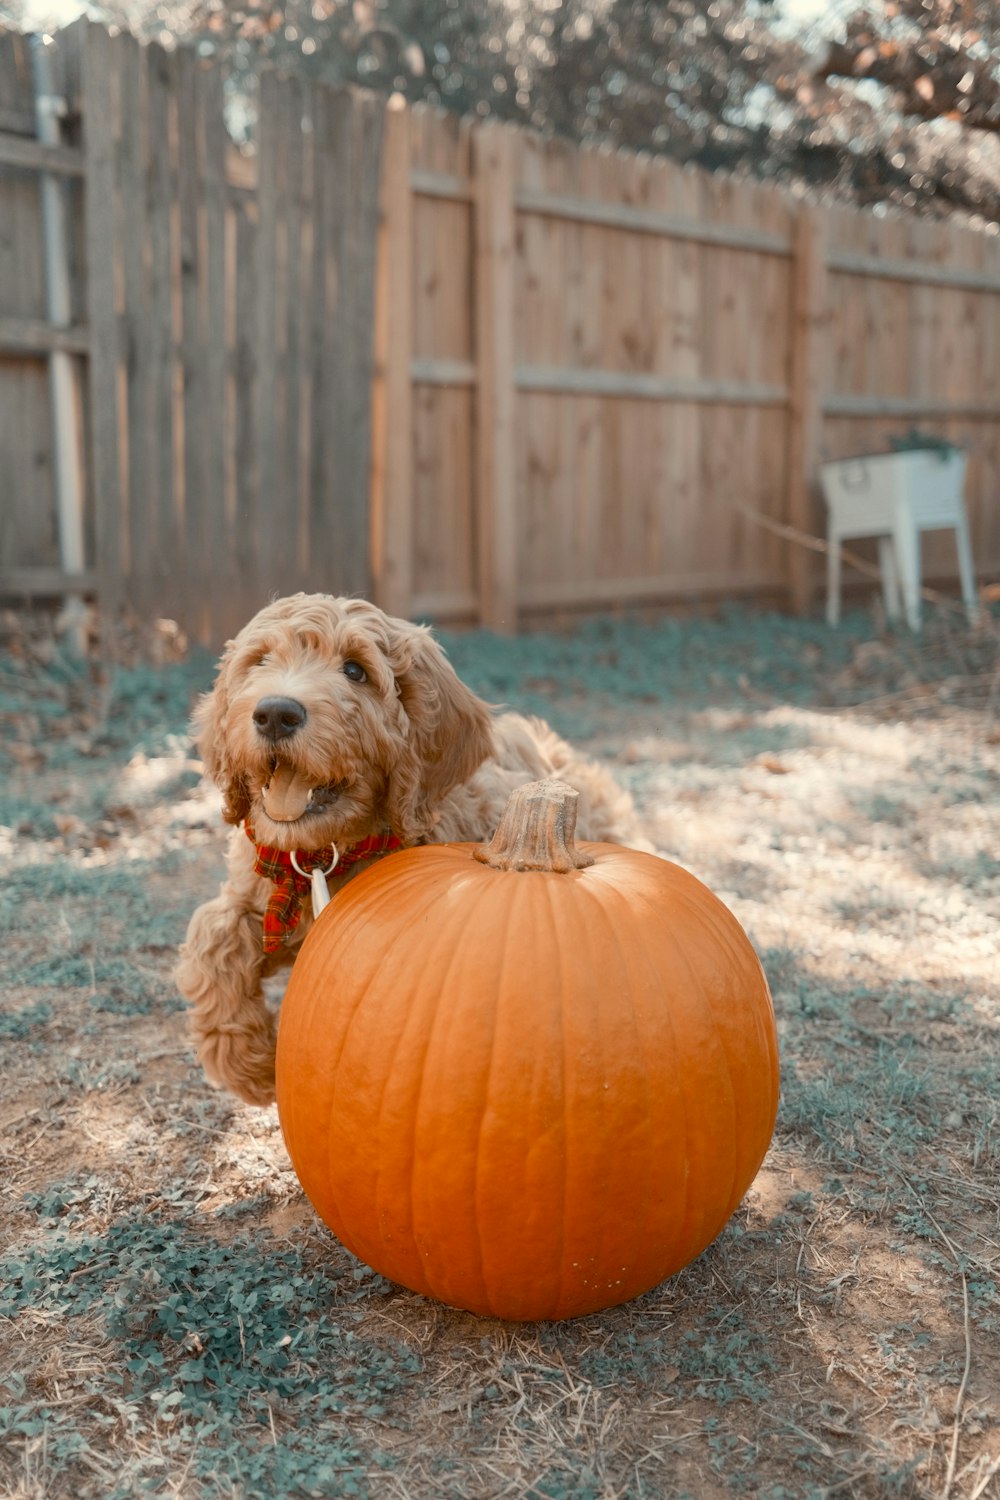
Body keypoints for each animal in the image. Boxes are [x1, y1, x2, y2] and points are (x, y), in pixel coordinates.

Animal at [176, 591, 644, 1110]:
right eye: (259, 661)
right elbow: (212, 931)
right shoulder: (260, 889)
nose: (275, 713)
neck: (327, 854)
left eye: (355, 670)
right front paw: (248, 1064)